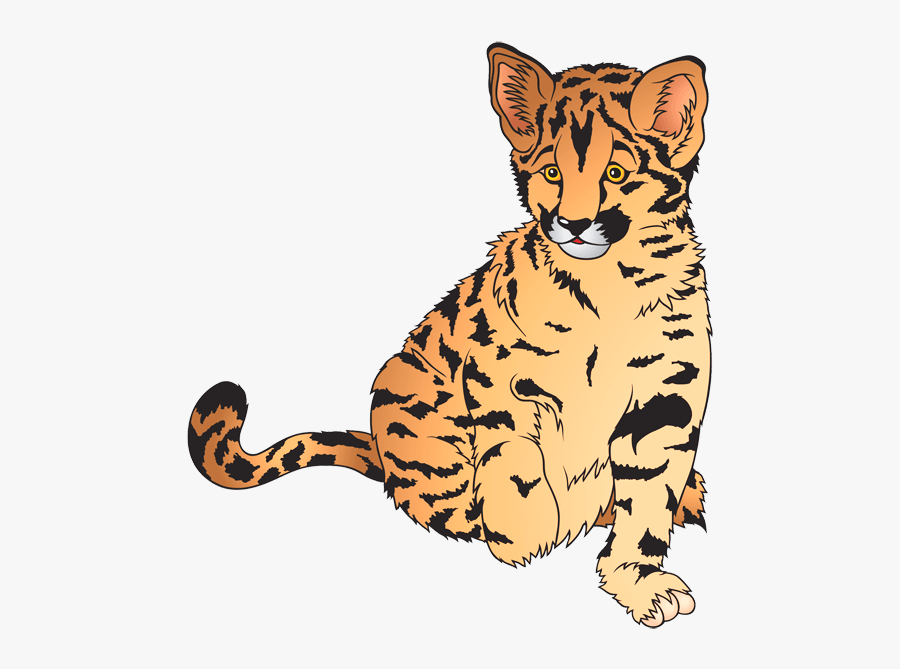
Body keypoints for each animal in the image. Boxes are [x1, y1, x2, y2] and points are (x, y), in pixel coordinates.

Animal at [188, 43, 711, 627]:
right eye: (552, 172)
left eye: (616, 172)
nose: (573, 224)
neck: (609, 285)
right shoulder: (496, 372)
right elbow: (515, 456)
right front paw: (525, 536)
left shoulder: (667, 398)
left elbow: (647, 501)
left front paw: (638, 580)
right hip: (404, 392)